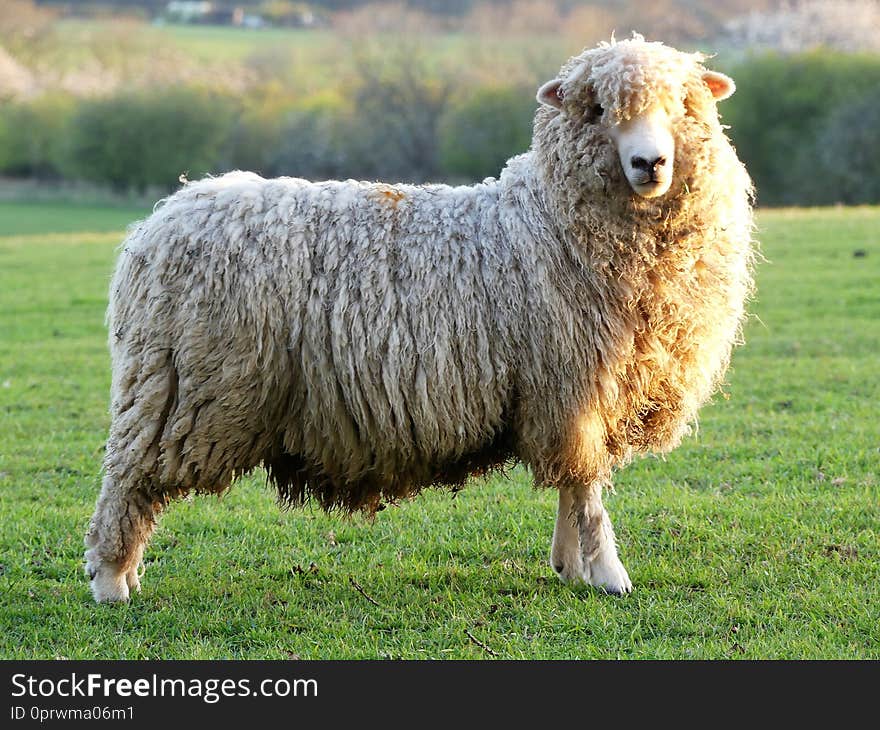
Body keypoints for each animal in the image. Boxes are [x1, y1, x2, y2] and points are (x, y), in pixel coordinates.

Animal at [84, 34, 756, 600]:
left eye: (685, 104)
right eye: (595, 111)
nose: (649, 164)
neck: (552, 222)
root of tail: (158, 223)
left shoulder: (571, 396)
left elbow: (572, 484)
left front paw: (569, 566)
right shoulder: (569, 384)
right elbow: (587, 491)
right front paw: (609, 575)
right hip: (185, 390)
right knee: (128, 479)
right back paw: (112, 581)